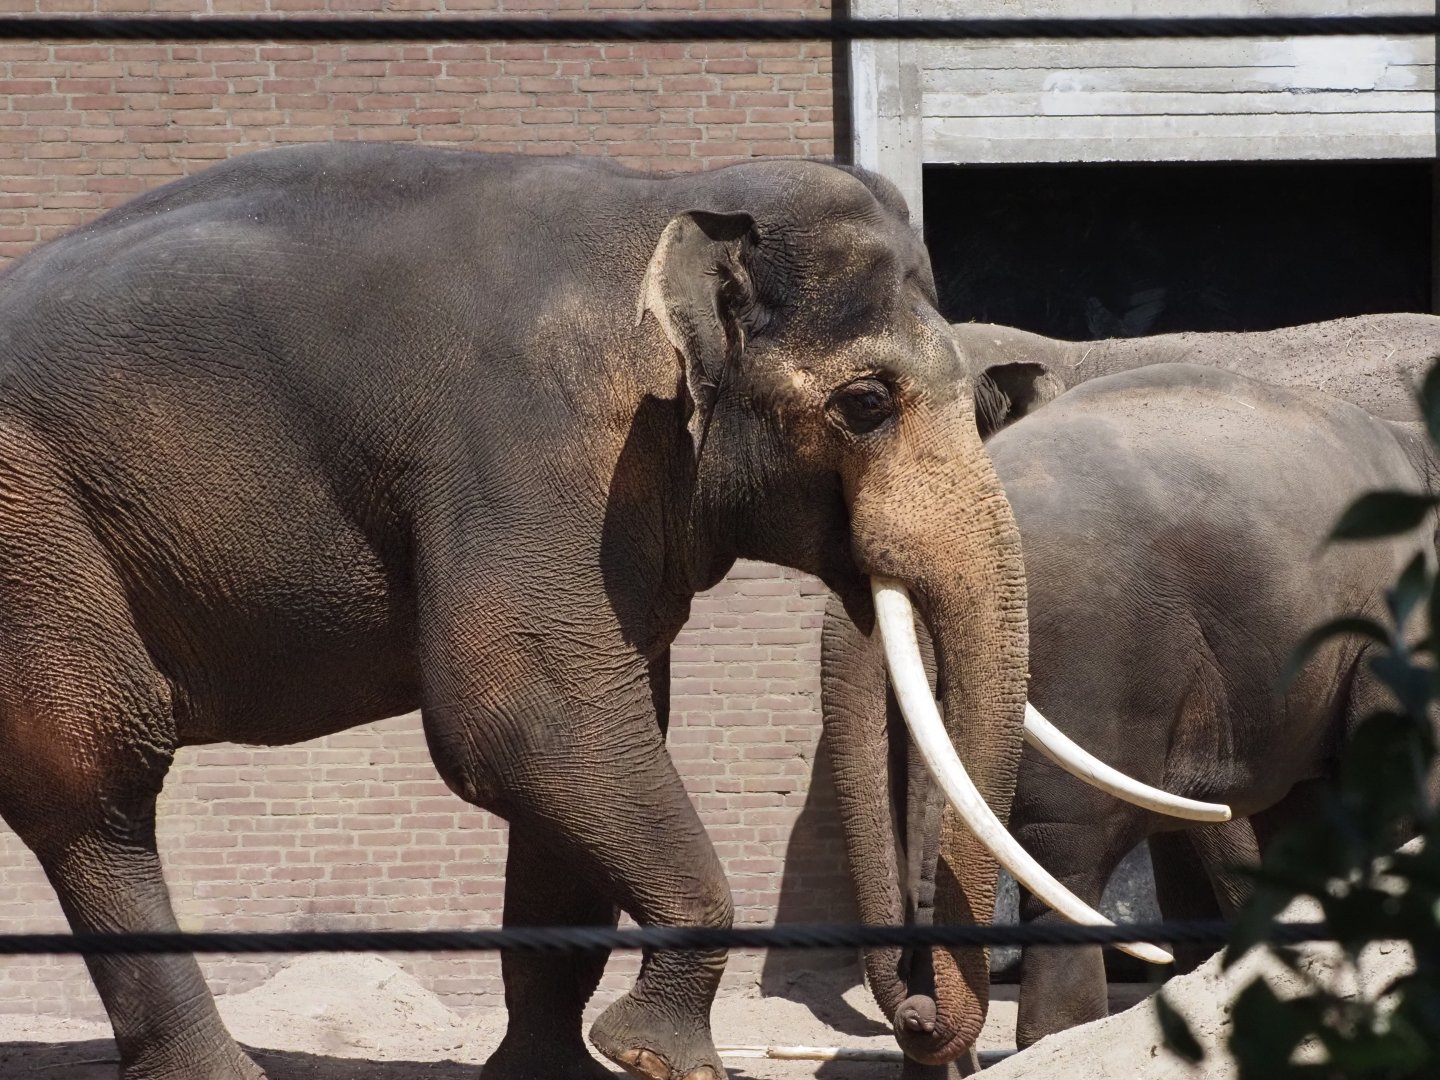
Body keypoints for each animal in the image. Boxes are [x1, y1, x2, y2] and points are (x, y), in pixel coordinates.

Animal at [0, 142, 1184, 1080]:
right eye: (864, 404)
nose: (925, 1021)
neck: (670, 204)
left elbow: (582, 757)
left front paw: (551, 1070)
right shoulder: (536, 446)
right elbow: (526, 719)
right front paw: (659, 1058)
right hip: (37, 539)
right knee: (99, 781)